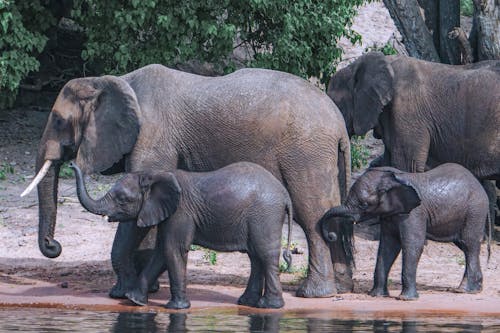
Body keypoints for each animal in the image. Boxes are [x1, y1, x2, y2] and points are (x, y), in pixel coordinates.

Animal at [72, 161, 294, 308]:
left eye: (122, 199)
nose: (73, 164)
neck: (154, 174)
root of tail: (285, 194)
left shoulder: (180, 212)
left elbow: (173, 250)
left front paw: (177, 308)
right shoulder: (168, 213)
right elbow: (161, 253)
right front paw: (134, 300)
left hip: (265, 215)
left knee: (265, 255)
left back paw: (270, 306)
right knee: (255, 256)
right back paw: (247, 302)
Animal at [320, 163, 488, 298]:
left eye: (363, 205)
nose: (331, 235)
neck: (393, 179)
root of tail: (478, 183)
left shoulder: (414, 213)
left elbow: (412, 244)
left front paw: (406, 299)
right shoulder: (390, 214)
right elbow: (387, 247)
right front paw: (377, 295)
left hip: (475, 211)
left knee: (469, 245)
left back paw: (466, 290)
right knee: (465, 246)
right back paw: (471, 289)